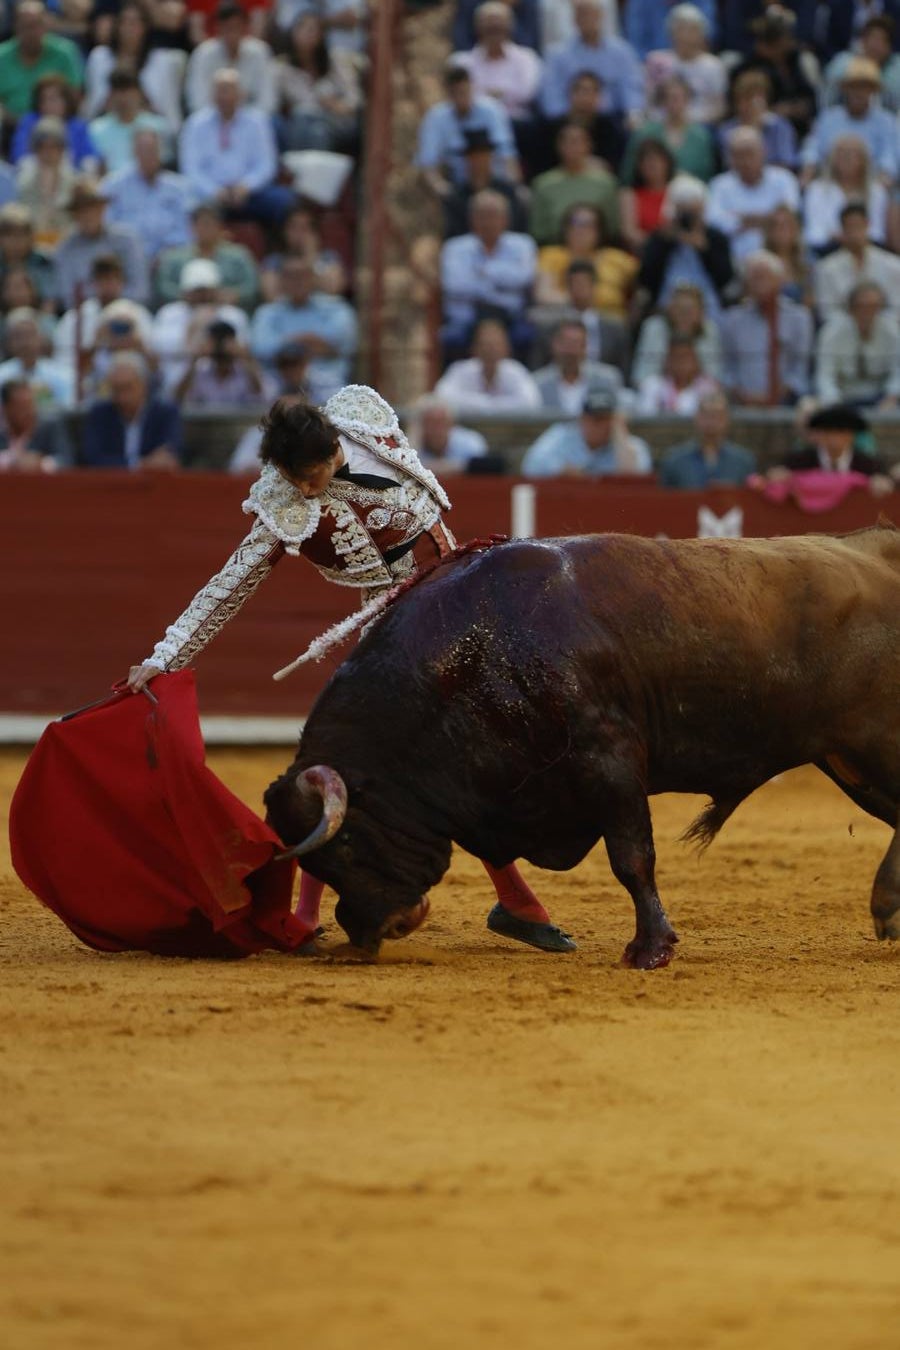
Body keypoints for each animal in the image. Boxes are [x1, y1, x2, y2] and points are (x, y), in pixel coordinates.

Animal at [261, 526, 900, 972]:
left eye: (344, 847)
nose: (371, 931)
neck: (472, 660)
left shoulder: (608, 761)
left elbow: (631, 858)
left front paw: (650, 950)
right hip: (848, 762)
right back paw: (888, 912)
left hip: (874, 747)